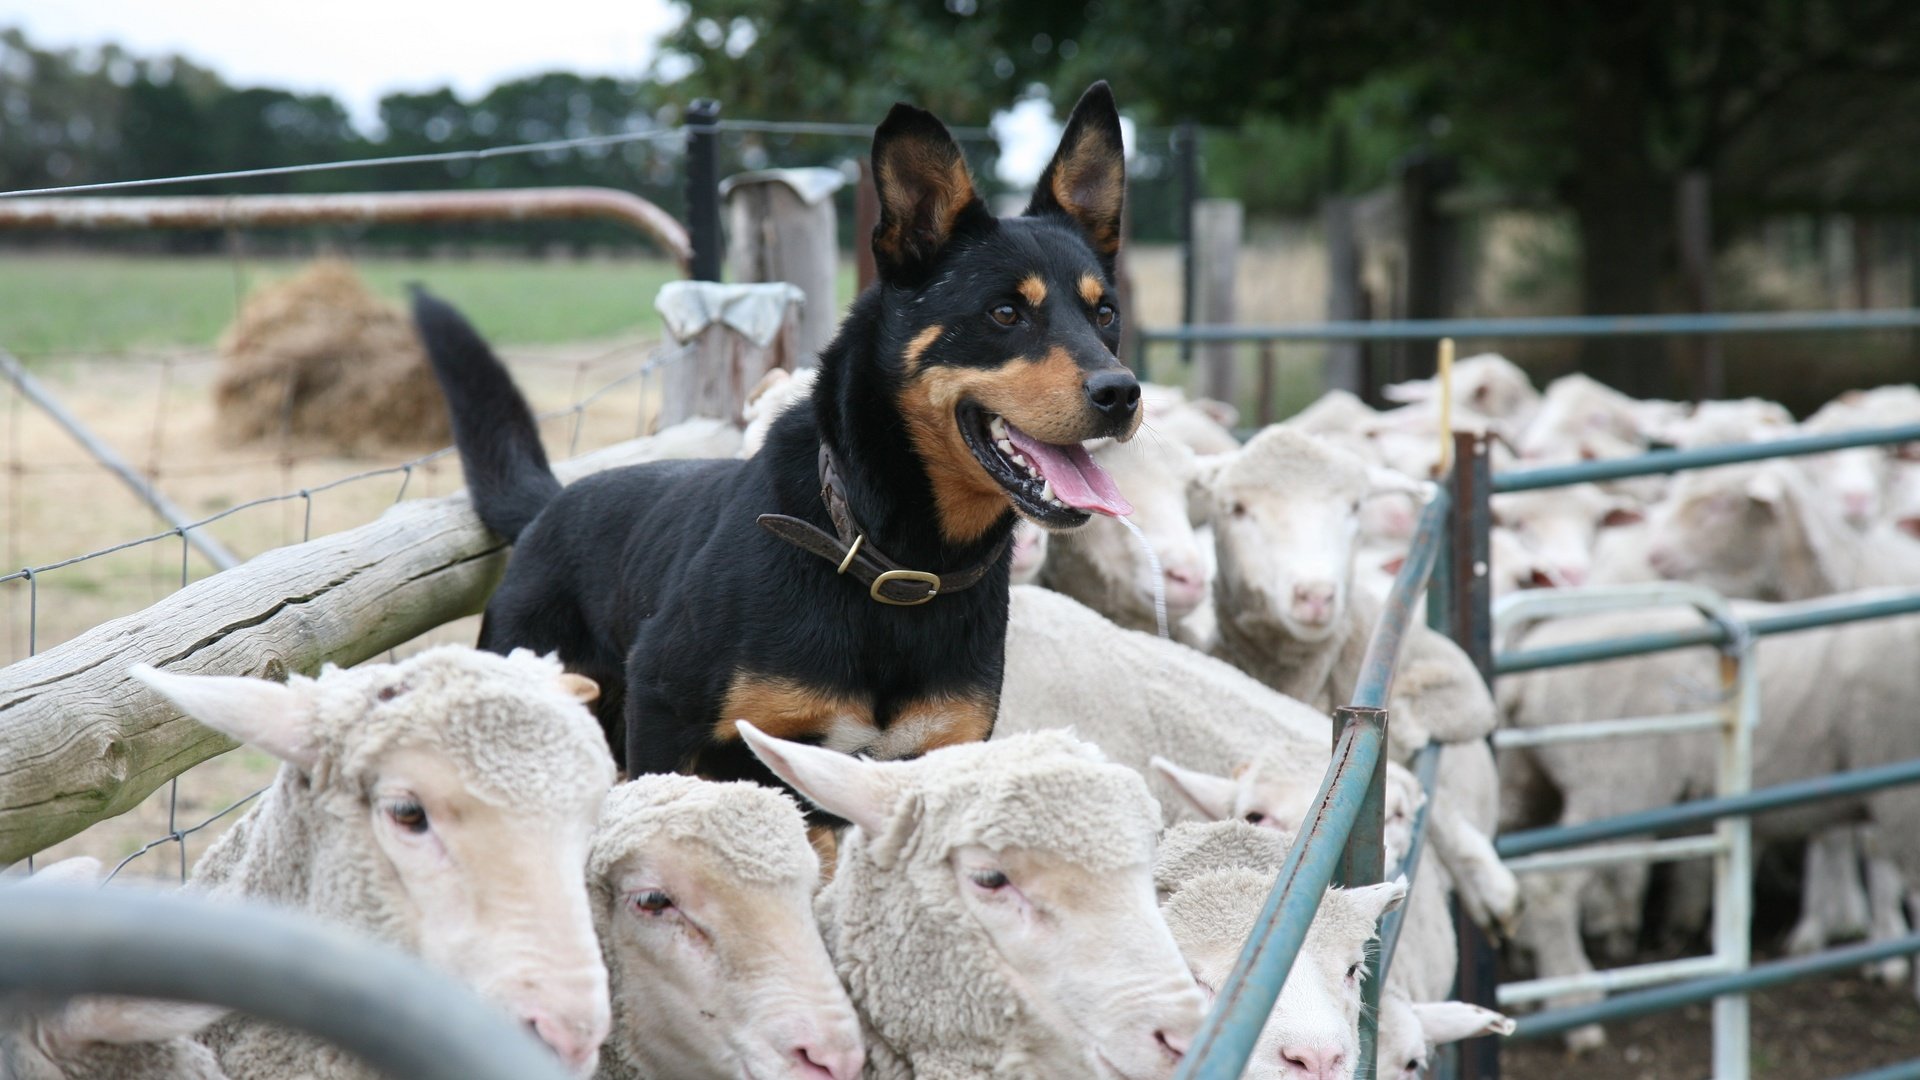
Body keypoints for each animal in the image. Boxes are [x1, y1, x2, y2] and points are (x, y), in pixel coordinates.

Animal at [412, 82, 1136, 791]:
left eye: (1105, 315)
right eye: (1006, 312)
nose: (1122, 393)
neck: (897, 561)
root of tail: (552, 505)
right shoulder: (664, 712)